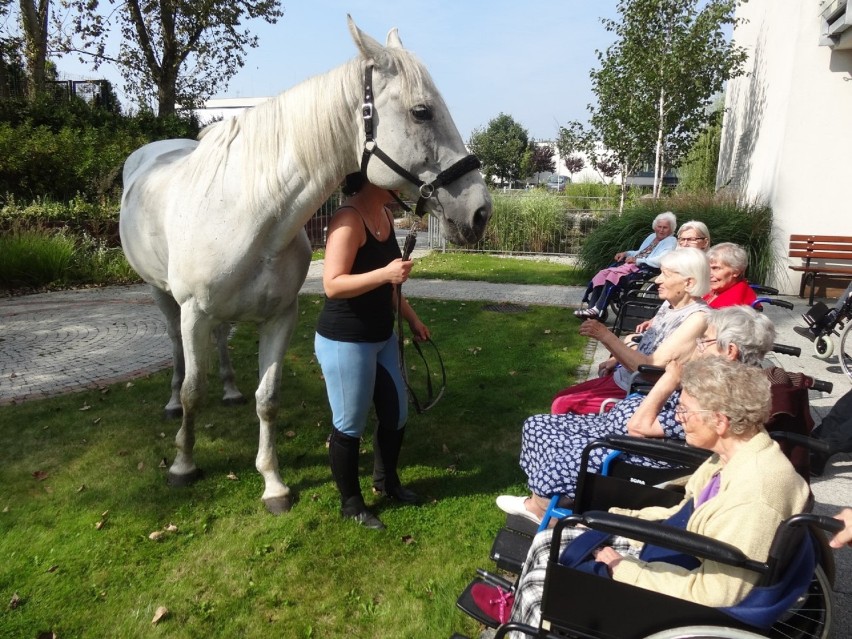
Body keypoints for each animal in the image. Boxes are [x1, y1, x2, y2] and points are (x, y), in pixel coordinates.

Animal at [120, 16, 492, 516]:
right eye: (421, 112)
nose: (480, 212)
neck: (247, 213)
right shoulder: (193, 311)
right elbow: (195, 391)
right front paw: (183, 464)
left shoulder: (281, 316)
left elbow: (268, 398)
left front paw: (273, 484)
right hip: (163, 297)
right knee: (178, 353)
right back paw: (173, 405)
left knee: (222, 342)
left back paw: (231, 389)